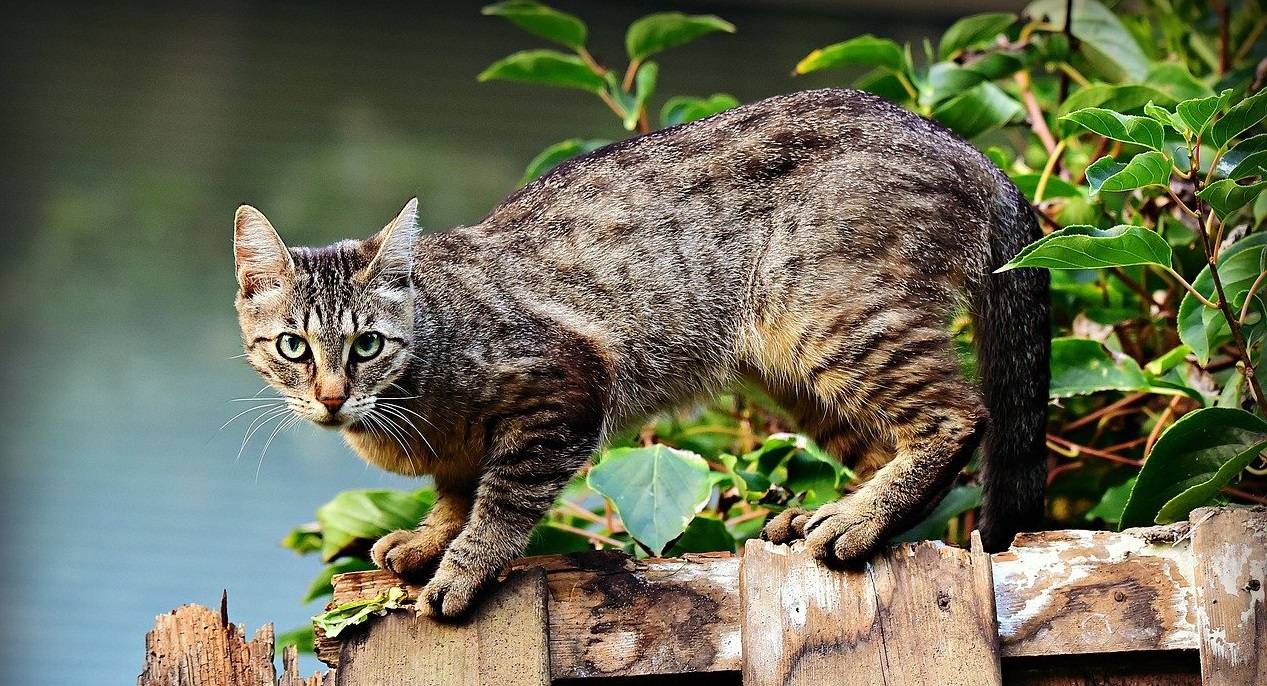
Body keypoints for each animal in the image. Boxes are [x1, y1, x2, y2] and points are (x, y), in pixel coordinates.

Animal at [235, 88, 1049, 618]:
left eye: (367, 344)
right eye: (292, 347)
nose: (332, 396)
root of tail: (969, 151)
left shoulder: (564, 389)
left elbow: (500, 500)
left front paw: (463, 567)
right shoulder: (464, 451)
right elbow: (457, 492)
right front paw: (431, 539)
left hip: (832, 316)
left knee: (958, 417)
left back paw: (856, 521)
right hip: (792, 370)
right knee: (888, 444)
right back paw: (832, 513)